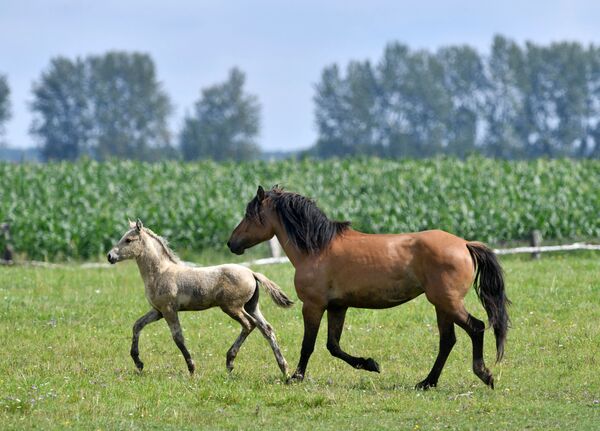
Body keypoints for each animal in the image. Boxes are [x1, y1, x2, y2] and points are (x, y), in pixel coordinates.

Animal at [227, 187, 508, 390]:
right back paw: (427, 382)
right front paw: (371, 364)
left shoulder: (313, 306)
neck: (317, 249)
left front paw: (295, 377)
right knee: (448, 340)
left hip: (448, 302)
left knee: (476, 328)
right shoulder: (338, 307)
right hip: (442, 306)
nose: (231, 243)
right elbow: (333, 346)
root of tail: (465, 244)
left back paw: (484, 375)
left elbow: (309, 345)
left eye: (250, 215)